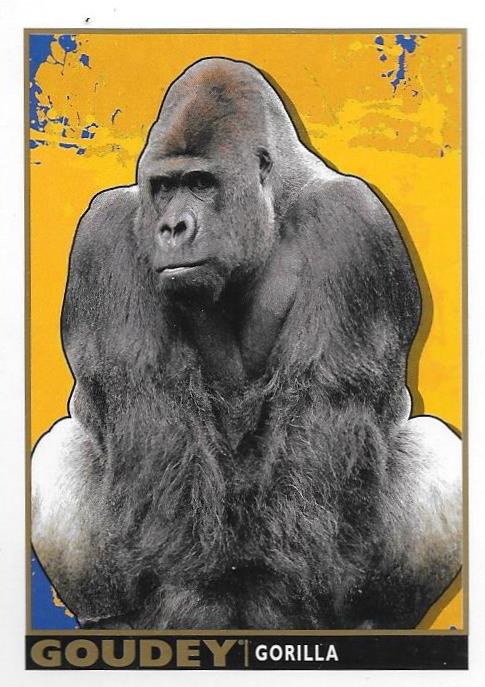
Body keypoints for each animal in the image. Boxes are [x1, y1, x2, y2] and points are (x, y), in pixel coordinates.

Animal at [31, 57, 462, 630]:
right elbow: (147, 413)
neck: (273, 201)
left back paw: (376, 623)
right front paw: (189, 610)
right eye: (163, 187)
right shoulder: (104, 233)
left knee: (438, 447)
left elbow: (321, 423)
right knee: (58, 447)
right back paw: (113, 621)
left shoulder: (354, 222)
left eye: (201, 183)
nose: (172, 226)